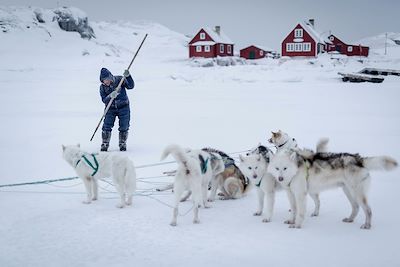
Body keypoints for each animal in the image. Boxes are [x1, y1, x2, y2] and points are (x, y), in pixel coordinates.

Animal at [268, 142, 396, 230]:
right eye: (277, 168)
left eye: (285, 168)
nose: (280, 178)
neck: (295, 170)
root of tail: (358, 159)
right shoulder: (290, 194)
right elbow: (294, 210)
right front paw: (291, 221)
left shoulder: (300, 195)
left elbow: (300, 212)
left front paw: (297, 225)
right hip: (348, 191)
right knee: (356, 207)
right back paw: (350, 219)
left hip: (357, 193)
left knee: (368, 210)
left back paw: (367, 225)